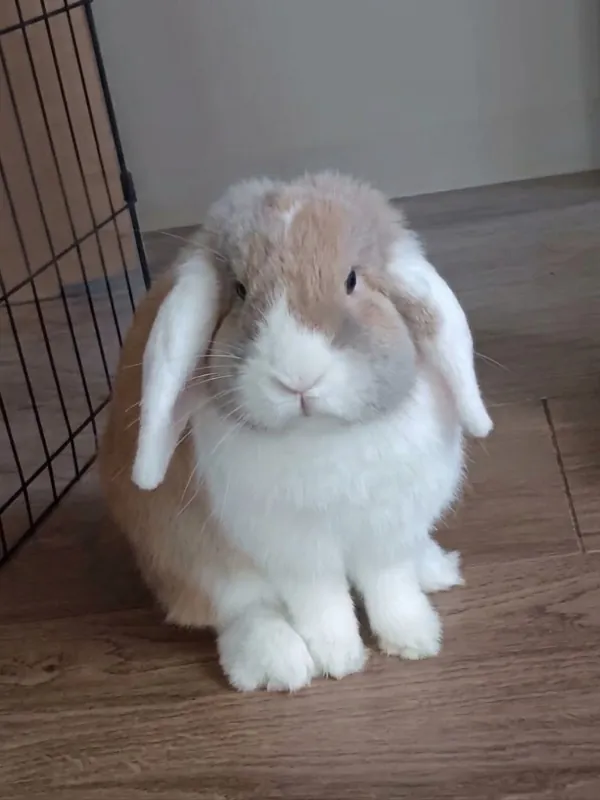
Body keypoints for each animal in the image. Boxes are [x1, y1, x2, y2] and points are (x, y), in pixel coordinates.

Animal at [98, 172, 492, 692]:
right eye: (240, 290)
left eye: (351, 279)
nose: (297, 378)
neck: (322, 436)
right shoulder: (298, 554)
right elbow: (322, 604)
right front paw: (340, 659)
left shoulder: (385, 533)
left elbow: (391, 586)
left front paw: (415, 639)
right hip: (191, 557)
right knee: (237, 611)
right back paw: (278, 665)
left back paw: (436, 568)